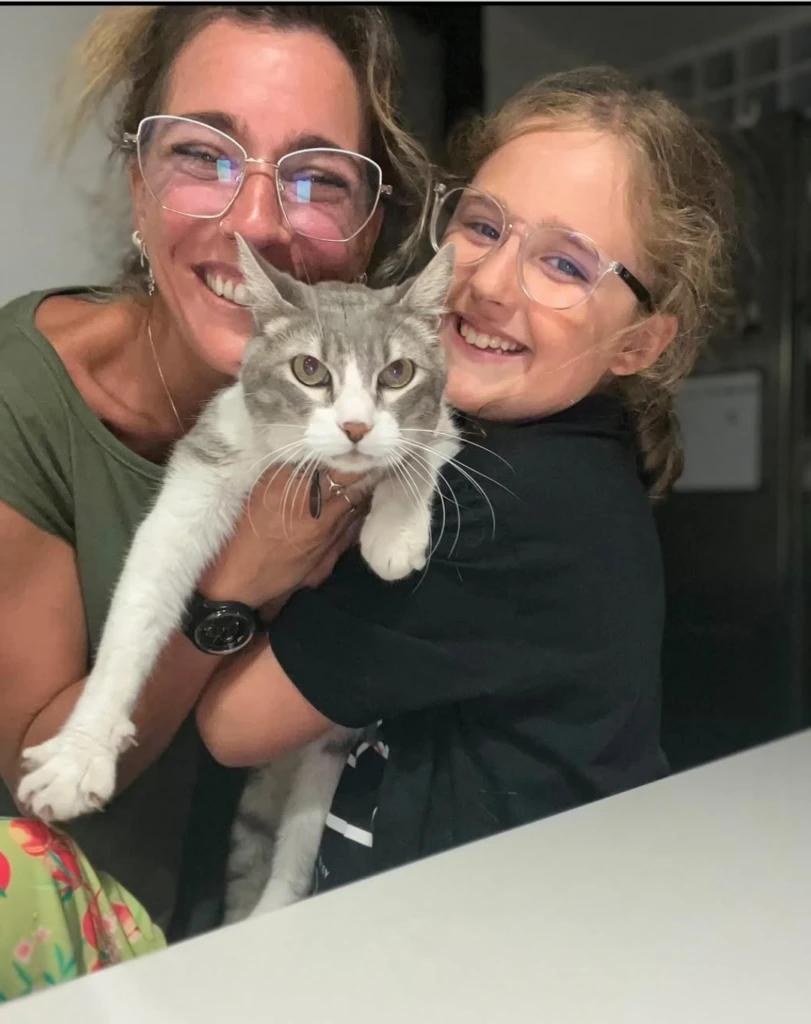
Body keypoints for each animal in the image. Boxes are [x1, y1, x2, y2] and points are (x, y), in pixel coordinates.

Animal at [17, 236, 460, 915]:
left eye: (397, 373)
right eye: (309, 370)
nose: (356, 427)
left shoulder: (444, 422)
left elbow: (422, 447)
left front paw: (394, 531)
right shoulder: (212, 455)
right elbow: (144, 595)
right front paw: (78, 756)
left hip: (324, 745)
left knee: (300, 836)